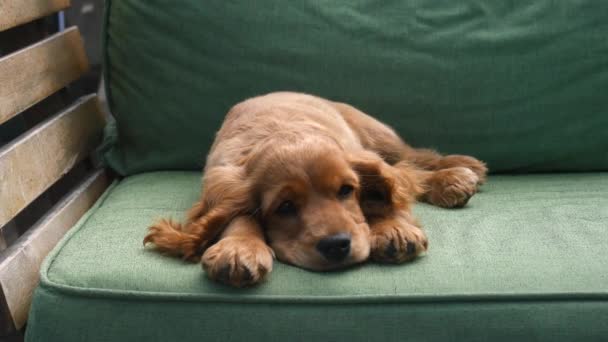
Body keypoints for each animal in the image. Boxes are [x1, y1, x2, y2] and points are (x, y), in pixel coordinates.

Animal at [141, 92, 484, 288]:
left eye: (346, 190)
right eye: (284, 207)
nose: (337, 245)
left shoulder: (361, 158)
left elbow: (385, 193)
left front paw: (392, 229)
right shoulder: (223, 184)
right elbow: (237, 215)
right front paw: (239, 248)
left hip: (376, 135)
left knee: (412, 160)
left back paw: (458, 173)